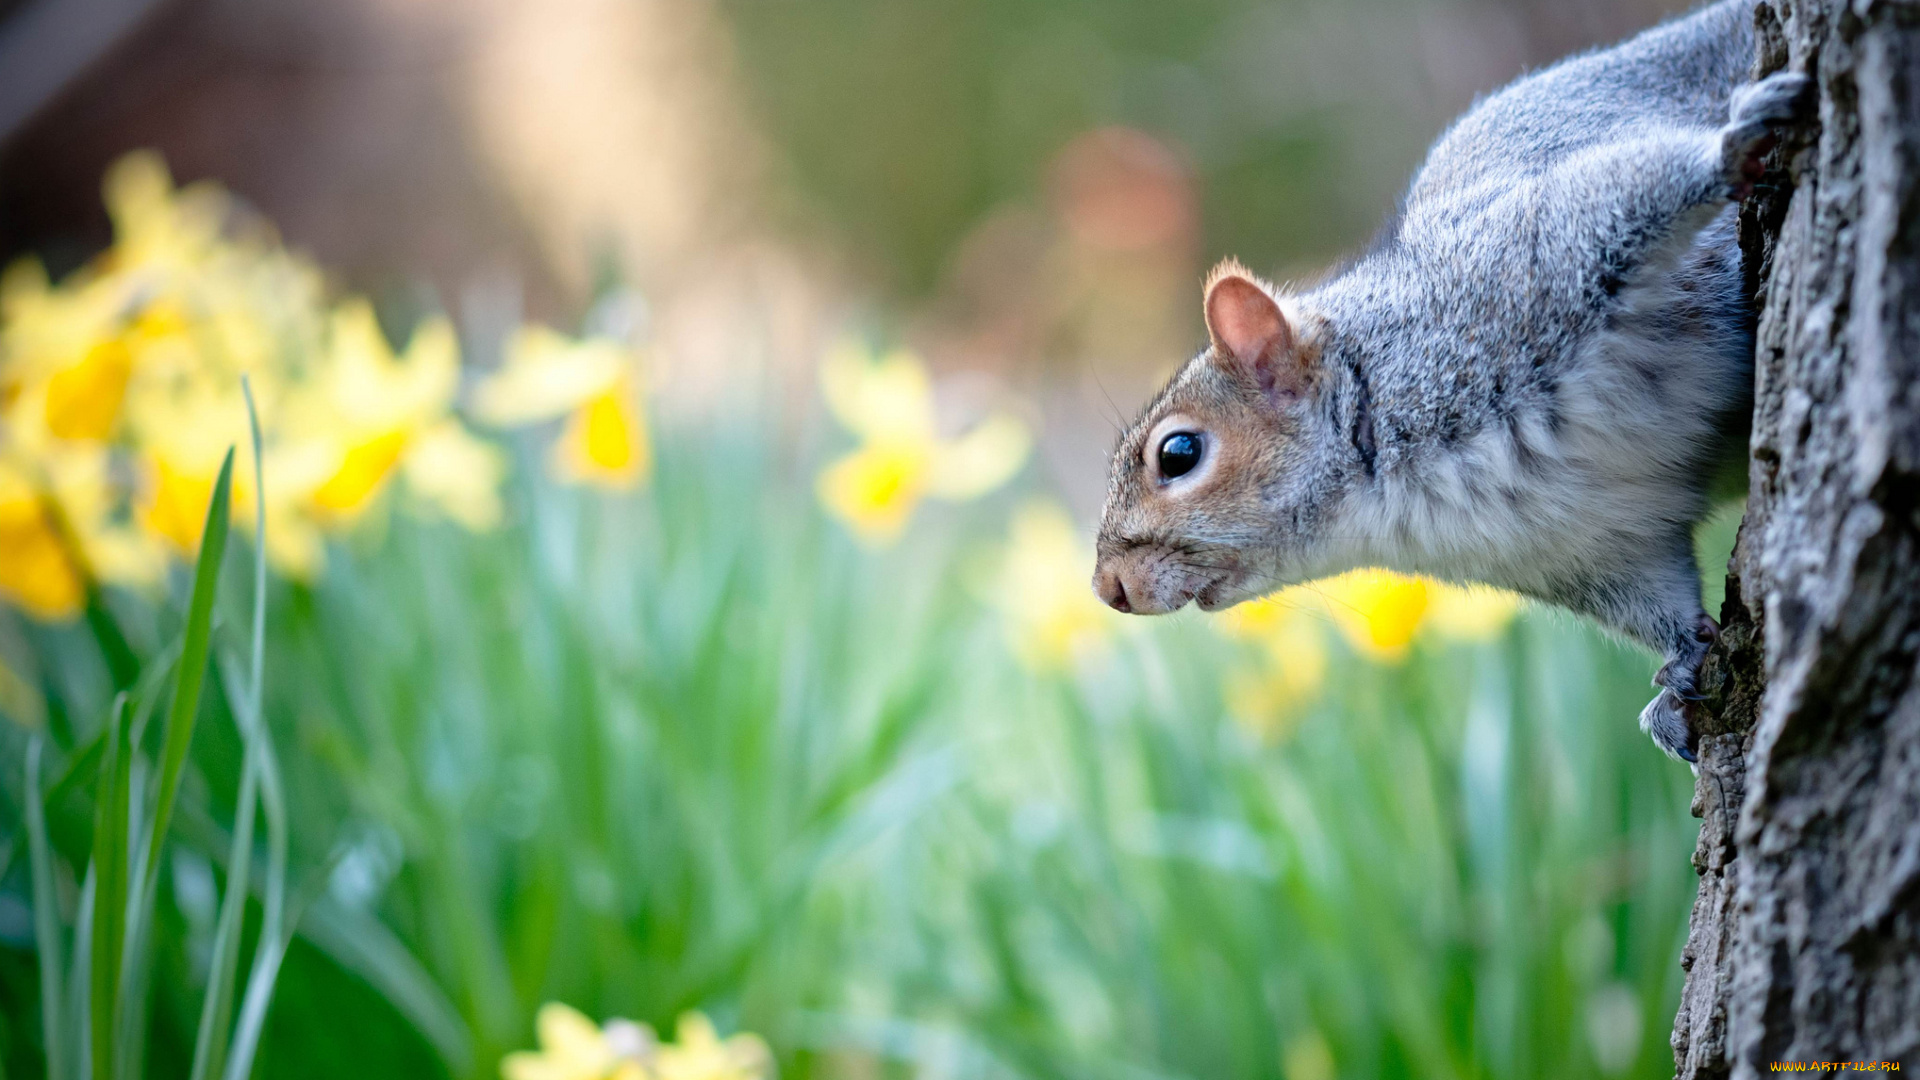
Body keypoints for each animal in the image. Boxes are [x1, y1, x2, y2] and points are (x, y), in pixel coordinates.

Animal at [1098, 0, 1812, 757]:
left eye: (1179, 453)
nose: (1108, 588)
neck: (1402, 495)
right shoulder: (1590, 548)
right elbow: (1657, 600)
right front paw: (1680, 675)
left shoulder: (1529, 272)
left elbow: (1630, 189)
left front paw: (1734, 144)